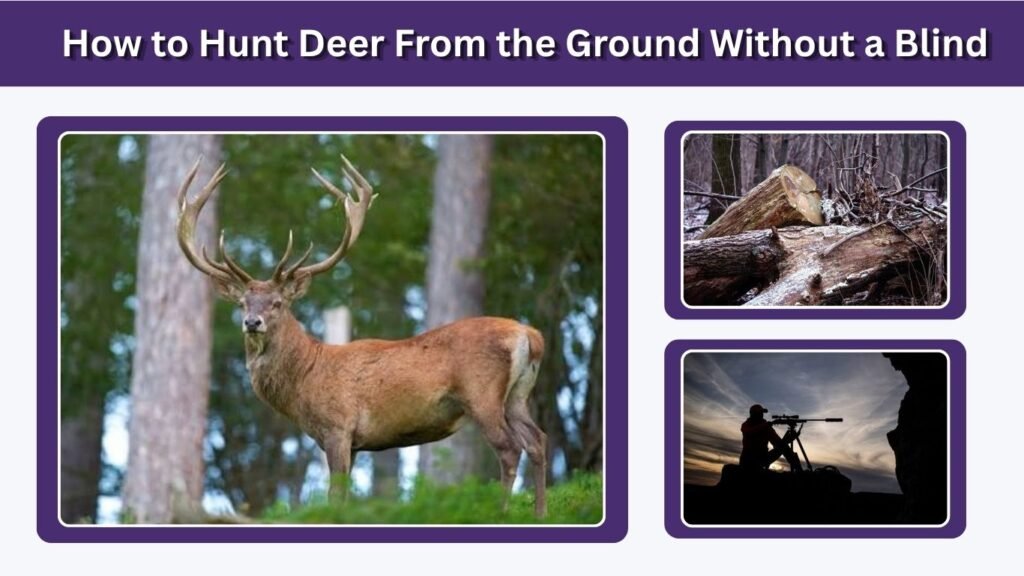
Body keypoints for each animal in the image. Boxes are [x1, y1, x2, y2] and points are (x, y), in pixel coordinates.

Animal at [175, 155, 547, 517]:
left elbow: (335, 495)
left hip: (481, 394)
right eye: (242, 303)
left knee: (509, 449)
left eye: (278, 303)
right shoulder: (353, 442)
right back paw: (540, 513)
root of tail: (530, 335)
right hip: (517, 396)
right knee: (538, 441)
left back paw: (501, 512)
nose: (252, 322)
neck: (305, 378)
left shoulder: (338, 428)